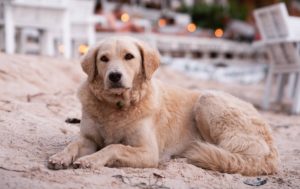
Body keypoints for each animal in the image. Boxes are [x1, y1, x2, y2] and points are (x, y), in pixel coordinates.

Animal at [47, 36, 278, 176]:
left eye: (129, 56)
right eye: (103, 58)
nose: (114, 76)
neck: (117, 106)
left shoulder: (149, 152)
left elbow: (114, 147)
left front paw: (91, 160)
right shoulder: (89, 139)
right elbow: (74, 144)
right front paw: (60, 157)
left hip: (208, 100)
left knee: (230, 156)